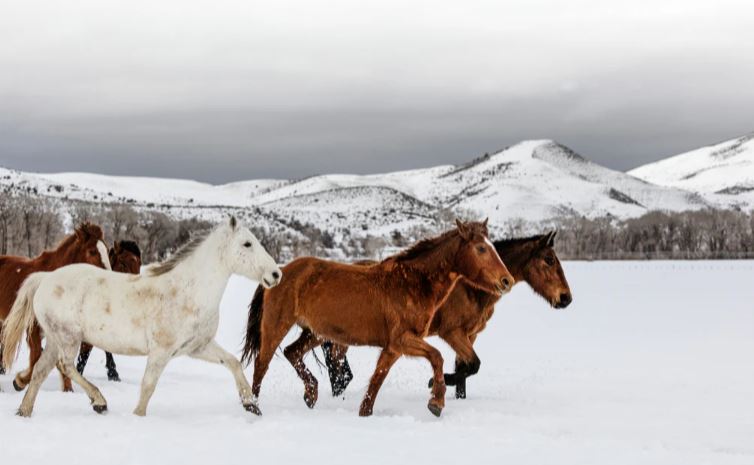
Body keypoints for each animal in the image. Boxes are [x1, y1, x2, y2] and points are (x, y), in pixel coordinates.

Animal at [0, 222, 111, 388]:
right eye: (92, 251)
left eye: (107, 250)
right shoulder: (33, 330)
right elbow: (36, 358)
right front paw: (19, 381)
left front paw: (68, 390)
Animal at [241, 219, 512, 416]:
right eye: (481, 248)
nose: (506, 281)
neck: (411, 283)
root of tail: (278, 272)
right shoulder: (403, 340)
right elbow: (437, 356)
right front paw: (436, 402)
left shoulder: (393, 348)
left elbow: (376, 382)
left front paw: (365, 413)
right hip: (277, 326)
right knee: (261, 365)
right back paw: (253, 407)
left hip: (316, 333)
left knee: (292, 352)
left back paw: (311, 394)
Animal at [320, 230, 572, 396]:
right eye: (549, 260)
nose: (566, 298)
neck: (472, 286)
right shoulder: (452, 333)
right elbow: (473, 365)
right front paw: (435, 382)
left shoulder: (470, 335)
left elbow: (466, 368)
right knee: (334, 362)